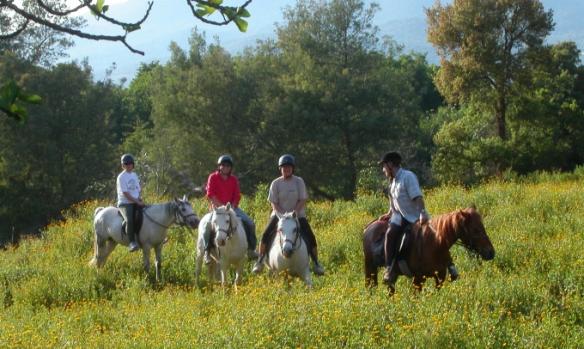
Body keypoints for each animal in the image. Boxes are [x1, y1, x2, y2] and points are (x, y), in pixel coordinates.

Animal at [362, 207, 496, 290]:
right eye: (475, 230)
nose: (491, 252)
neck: (436, 243)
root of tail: (369, 228)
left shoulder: (440, 277)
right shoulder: (418, 279)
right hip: (370, 269)